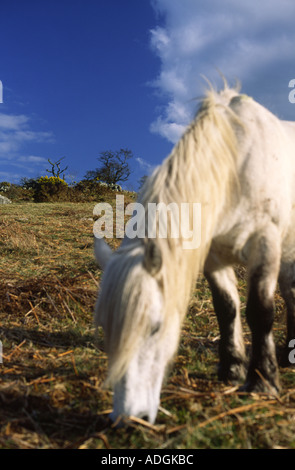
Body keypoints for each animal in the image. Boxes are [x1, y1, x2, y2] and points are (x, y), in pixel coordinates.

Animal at [93, 84, 295, 426]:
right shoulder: (212, 255)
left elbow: (260, 311)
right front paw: (231, 369)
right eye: (106, 328)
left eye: (155, 327)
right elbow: (226, 308)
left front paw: (262, 381)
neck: (234, 162)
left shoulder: (265, 242)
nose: (128, 418)